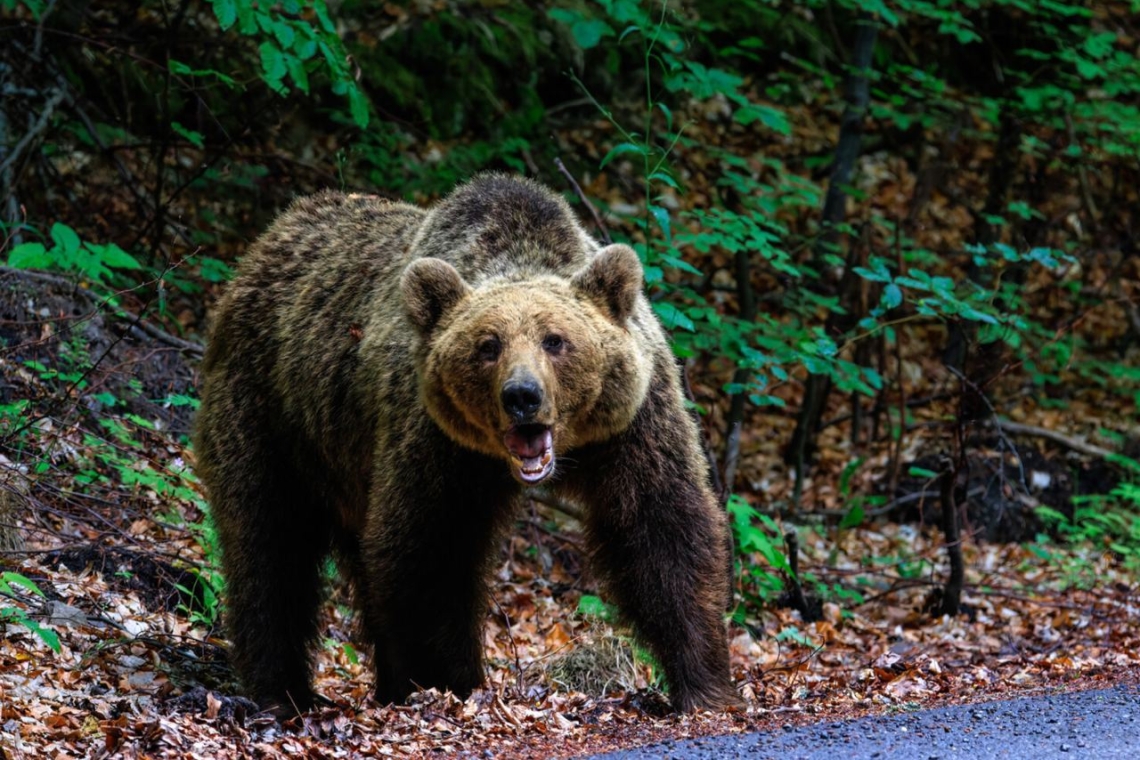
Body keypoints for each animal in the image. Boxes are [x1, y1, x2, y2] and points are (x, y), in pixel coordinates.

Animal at [193, 172, 738, 715]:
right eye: (488, 345)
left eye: (555, 340)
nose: (522, 396)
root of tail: (267, 242)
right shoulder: (437, 441)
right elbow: (431, 550)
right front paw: (450, 681)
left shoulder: (631, 425)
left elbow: (662, 528)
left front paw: (702, 682)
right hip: (271, 414)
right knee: (269, 544)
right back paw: (282, 690)